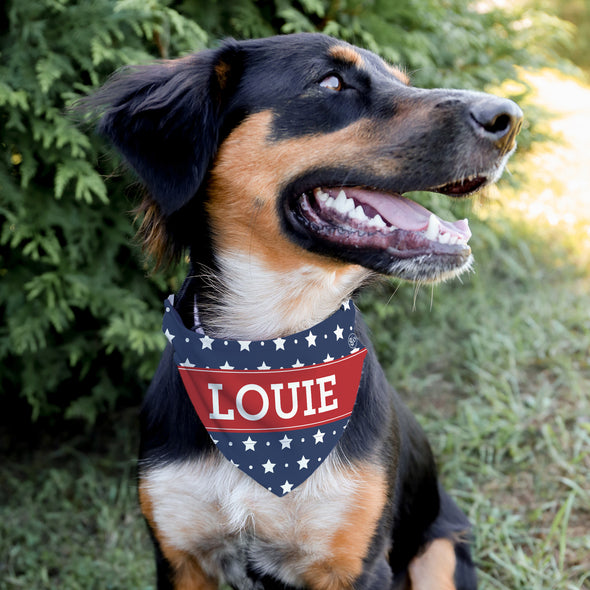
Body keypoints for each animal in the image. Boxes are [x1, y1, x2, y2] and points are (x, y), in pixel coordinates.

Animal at [88, 33, 524, 590]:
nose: (510, 118)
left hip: (440, 551)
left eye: (403, 82)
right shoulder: (180, 557)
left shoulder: (357, 564)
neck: (269, 355)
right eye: (331, 82)